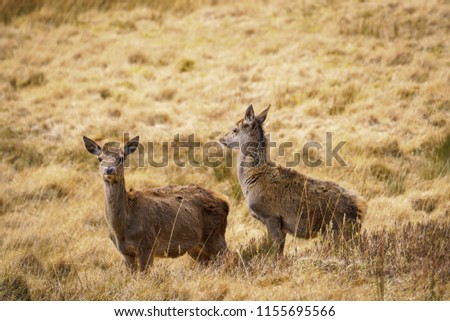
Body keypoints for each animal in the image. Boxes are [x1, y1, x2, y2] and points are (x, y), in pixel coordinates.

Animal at [82, 134, 229, 270]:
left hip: (216, 236)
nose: (109, 170)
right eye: (100, 158)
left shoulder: (147, 244)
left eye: (122, 158)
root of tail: (225, 202)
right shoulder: (125, 252)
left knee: (229, 259)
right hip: (196, 248)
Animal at [220, 105, 368, 255]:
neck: (252, 180)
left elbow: (275, 248)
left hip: (340, 228)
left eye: (235, 129)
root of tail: (361, 207)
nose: (222, 139)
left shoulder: (271, 215)